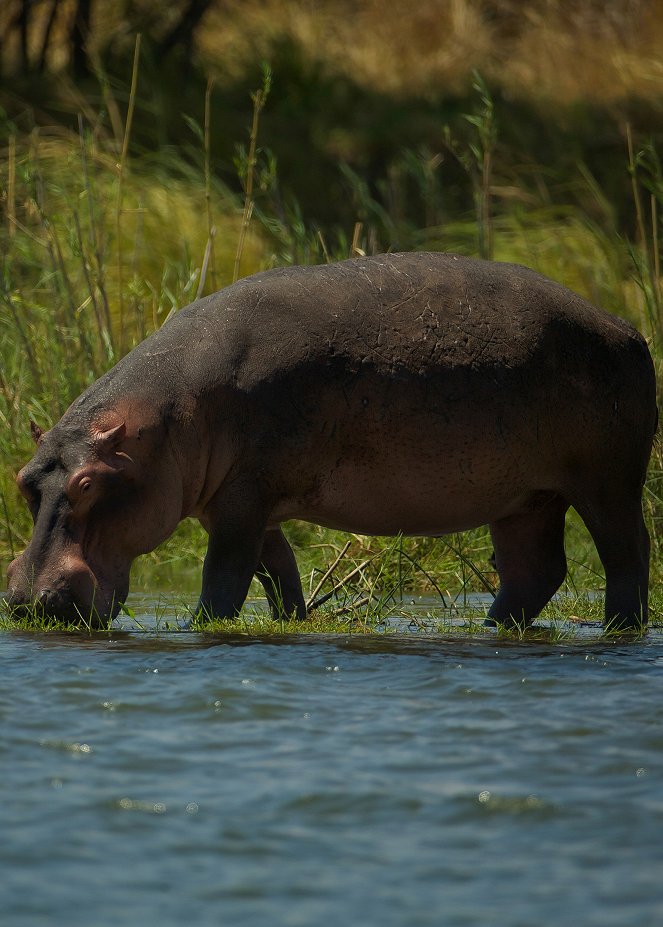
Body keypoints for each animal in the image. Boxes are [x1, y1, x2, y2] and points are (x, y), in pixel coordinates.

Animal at [5, 252, 660, 632]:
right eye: (23, 482)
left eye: (88, 483)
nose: (27, 601)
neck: (168, 418)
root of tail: (626, 330)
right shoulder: (242, 501)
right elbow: (278, 572)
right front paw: (292, 621)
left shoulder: (242, 502)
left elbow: (225, 576)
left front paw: (200, 627)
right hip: (526, 497)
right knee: (535, 570)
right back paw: (493, 629)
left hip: (607, 481)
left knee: (627, 552)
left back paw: (618, 629)